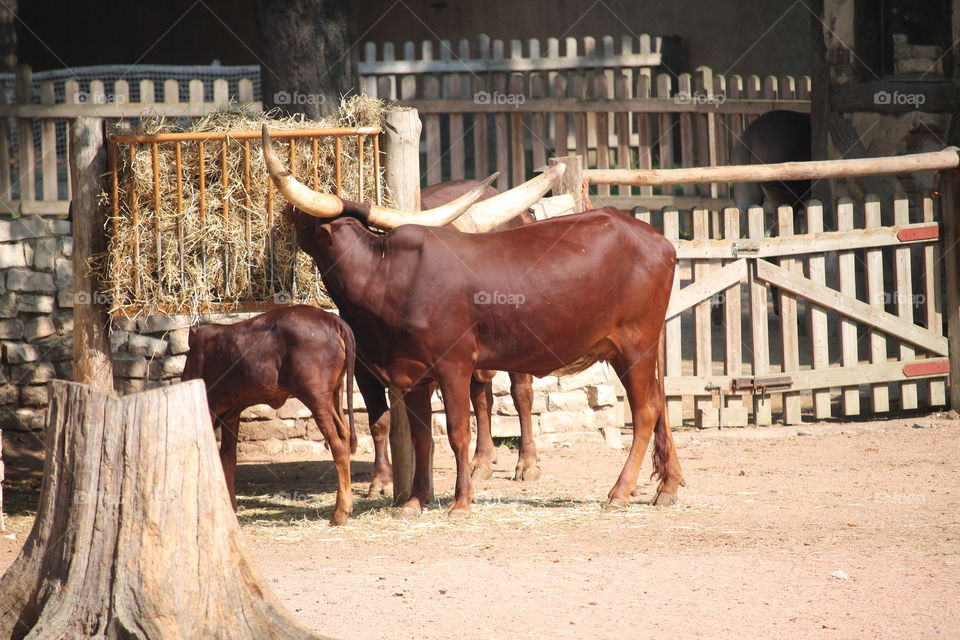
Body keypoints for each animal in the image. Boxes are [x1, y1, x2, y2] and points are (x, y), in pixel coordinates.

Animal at [181, 305, 357, 525]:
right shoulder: (231, 413)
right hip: (335, 394)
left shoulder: (211, 408)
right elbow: (228, 457)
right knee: (345, 434)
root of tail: (330, 318)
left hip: (317, 398)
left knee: (338, 444)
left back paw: (340, 513)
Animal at [263, 125, 684, 518]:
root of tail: (657, 239)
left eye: (300, 214)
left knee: (645, 410)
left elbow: (457, 433)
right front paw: (413, 502)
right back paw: (667, 486)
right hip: (642, 346)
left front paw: (462, 501)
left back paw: (619, 492)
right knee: (660, 403)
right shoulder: (412, 374)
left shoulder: (453, 367)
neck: (386, 275)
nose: (283, 215)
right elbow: (421, 438)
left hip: (633, 345)